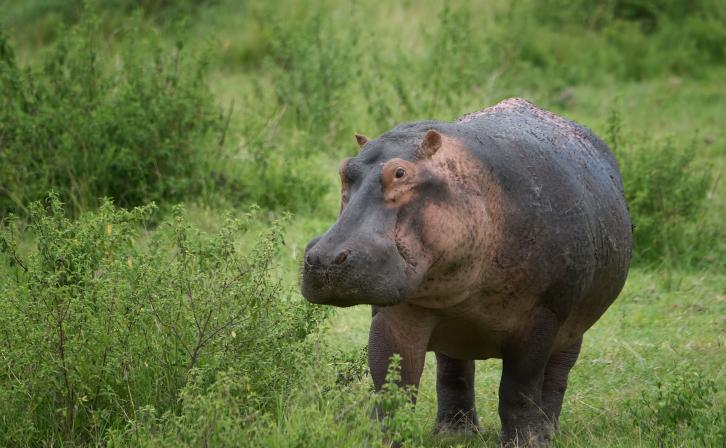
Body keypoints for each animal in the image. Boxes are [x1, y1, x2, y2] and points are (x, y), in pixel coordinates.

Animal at [301, 98, 632, 446]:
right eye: (343, 169)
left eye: (400, 172)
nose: (324, 258)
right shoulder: (396, 313)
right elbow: (393, 384)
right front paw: (384, 439)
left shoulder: (541, 317)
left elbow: (519, 388)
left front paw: (523, 442)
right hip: (454, 329)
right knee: (453, 372)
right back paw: (453, 433)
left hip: (574, 325)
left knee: (556, 377)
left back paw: (547, 432)